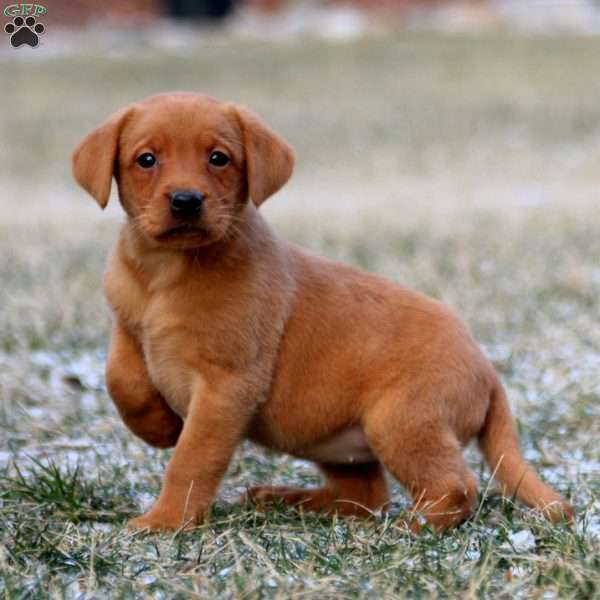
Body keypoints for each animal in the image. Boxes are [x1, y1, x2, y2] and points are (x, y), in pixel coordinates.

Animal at [71, 91, 572, 532]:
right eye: (146, 160)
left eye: (218, 158)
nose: (186, 201)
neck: (165, 274)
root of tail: (488, 371)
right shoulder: (128, 323)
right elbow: (121, 378)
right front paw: (157, 427)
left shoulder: (226, 385)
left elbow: (191, 460)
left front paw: (166, 522)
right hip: (336, 439)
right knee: (364, 496)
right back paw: (283, 498)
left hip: (403, 419)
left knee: (453, 486)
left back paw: (413, 526)